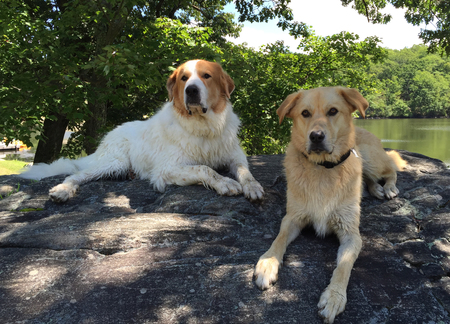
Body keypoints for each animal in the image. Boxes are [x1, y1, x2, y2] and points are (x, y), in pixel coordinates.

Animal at [21, 60, 266, 202]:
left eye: (206, 76)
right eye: (184, 78)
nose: (191, 90)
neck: (203, 125)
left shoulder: (235, 156)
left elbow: (245, 171)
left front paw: (253, 186)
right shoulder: (166, 169)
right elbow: (205, 169)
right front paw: (225, 183)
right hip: (114, 162)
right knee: (76, 174)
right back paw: (63, 190)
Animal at [255, 86, 406, 324]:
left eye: (333, 111)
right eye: (305, 113)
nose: (316, 136)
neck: (323, 169)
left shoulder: (351, 233)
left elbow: (343, 266)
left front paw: (334, 296)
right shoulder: (293, 218)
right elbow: (279, 239)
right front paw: (268, 263)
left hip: (371, 160)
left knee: (391, 169)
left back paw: (389, 188)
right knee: (372, 179)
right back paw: (375, 189)